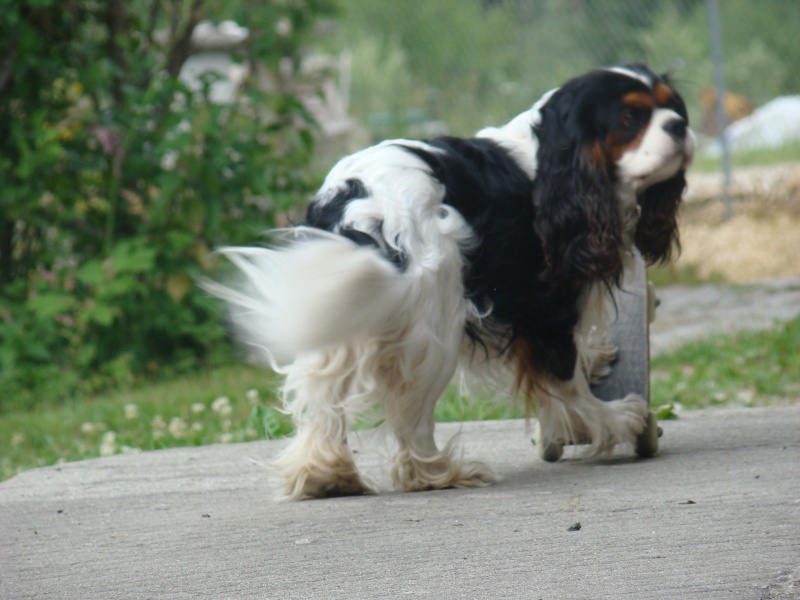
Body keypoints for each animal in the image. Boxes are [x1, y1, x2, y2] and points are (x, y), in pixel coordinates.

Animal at [206, 63, 692, 500]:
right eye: (631, 118)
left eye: (670, 105)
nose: (680, 125)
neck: (552, 164)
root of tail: (359, 203)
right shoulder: (546, 305)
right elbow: (565, 377)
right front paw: (611, 419)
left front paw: (595, 363)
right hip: (434, 315)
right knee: (411, 416)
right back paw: (437, 473)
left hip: (339, 301)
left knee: (325, 397)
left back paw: (326, 475)